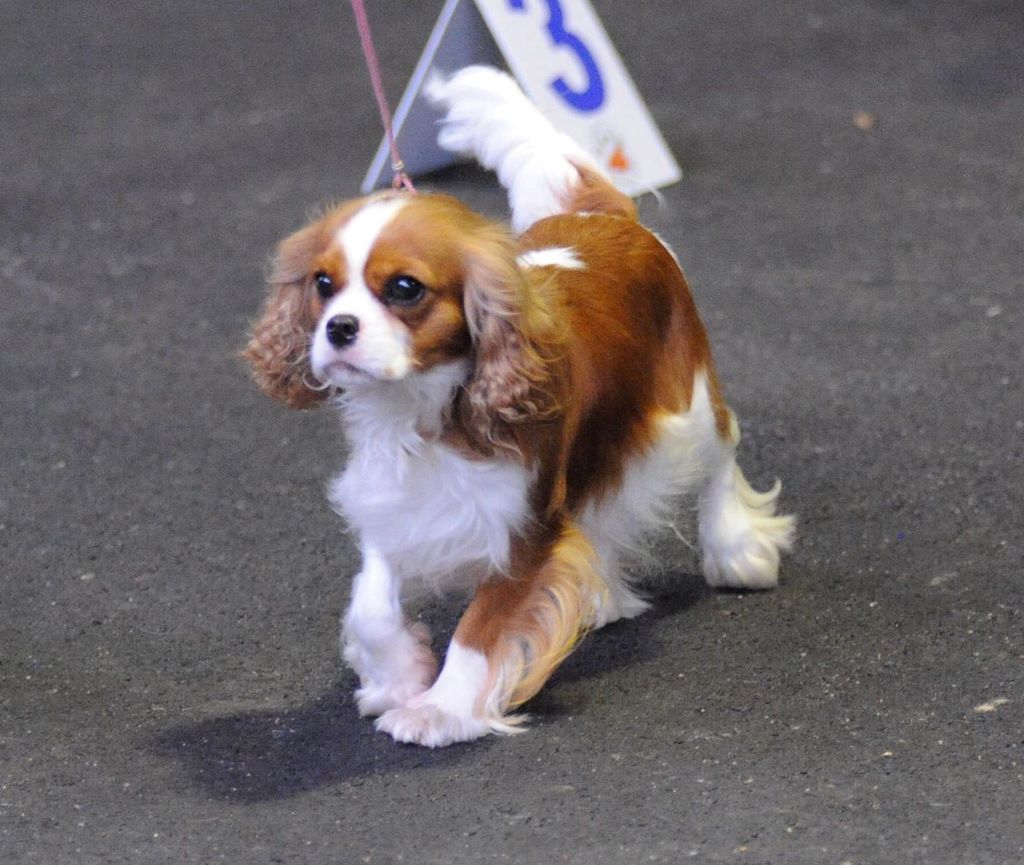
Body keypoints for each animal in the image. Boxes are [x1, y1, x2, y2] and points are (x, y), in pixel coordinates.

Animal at [243, 67, 794, 745]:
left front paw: (439, 708)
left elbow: (479, 632)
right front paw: (397, 677)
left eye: (405, 289)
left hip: (681, 412)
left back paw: (736, 549)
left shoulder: (522, 527)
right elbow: (372, 602)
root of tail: (601, 216)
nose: (339, 328)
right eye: (323, 284)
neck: (423, 412)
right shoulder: (394, 505)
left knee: (721, 450)